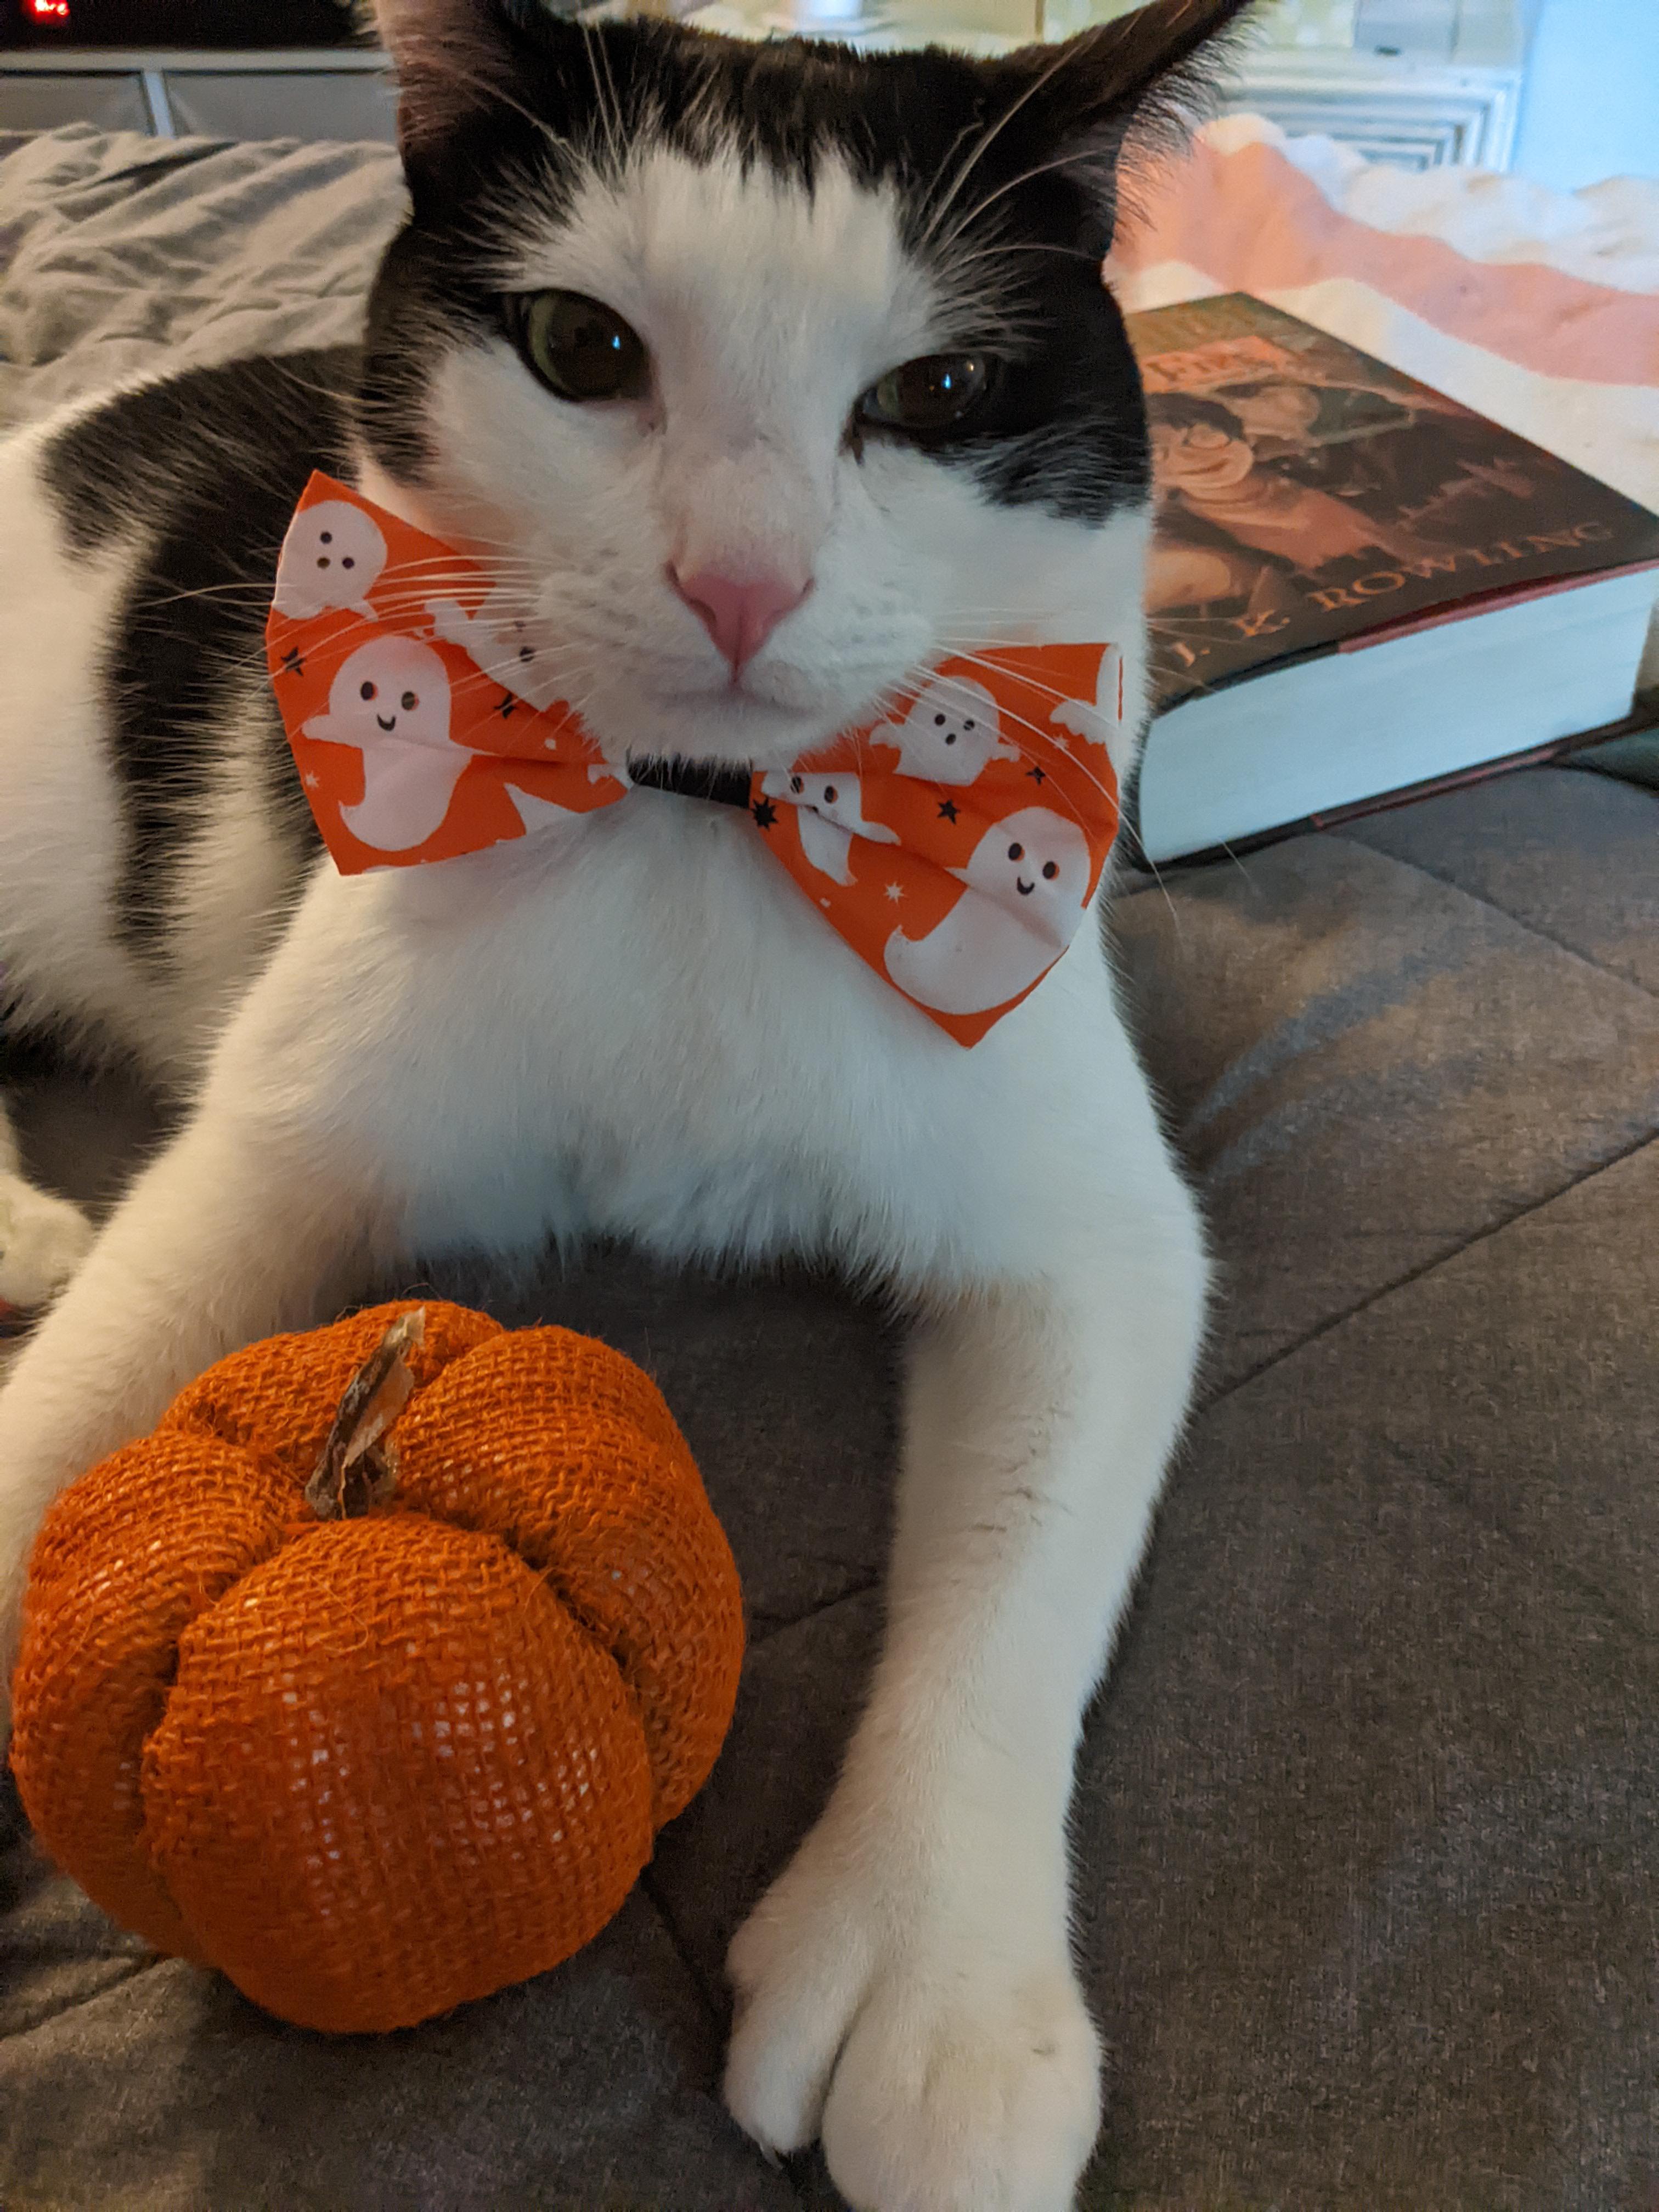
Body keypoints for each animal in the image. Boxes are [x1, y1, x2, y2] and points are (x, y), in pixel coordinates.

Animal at [0, 1, 1251, 2203]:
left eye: (937, 391)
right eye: (582, 348)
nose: (738, 579)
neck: (698, 831)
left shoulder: (1087, 1224)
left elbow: (1023, 1582)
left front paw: (939, 1975)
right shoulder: (278, 1134)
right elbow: (81, 1395)